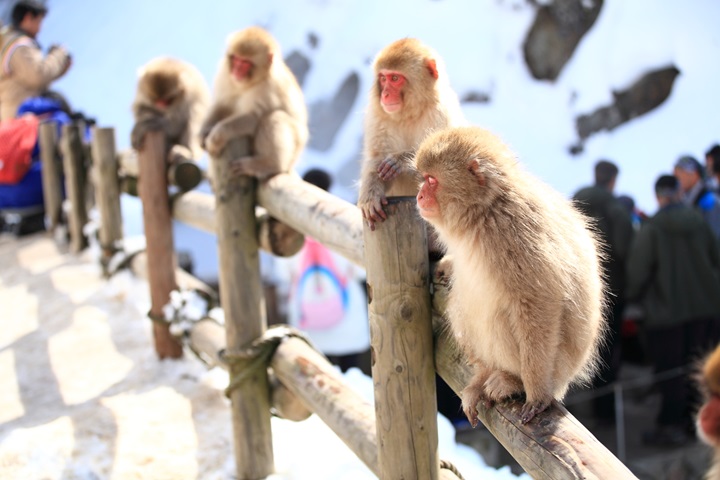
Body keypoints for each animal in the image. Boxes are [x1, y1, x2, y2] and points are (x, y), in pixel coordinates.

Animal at [198, 26, 308, 180]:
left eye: (245, 63)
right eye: (236, 59)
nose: (237, 71)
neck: (247, 84)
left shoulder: (268, 87)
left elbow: (255, 117)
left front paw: (217, 136)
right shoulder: (225, 75)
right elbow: (222, 104)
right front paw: (204, 132)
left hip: (297, 146)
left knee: (273, 118)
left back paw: (269, 164)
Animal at [416, 126, 608, 424]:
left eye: (431, 180)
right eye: (423, 179)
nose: (419, 195)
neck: (485, 210)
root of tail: (565, 379)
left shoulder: (513, 232)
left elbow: (539, 301)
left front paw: (537, 394)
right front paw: (446, 265)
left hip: (557, 367)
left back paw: (512, 380)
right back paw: (482, 374)